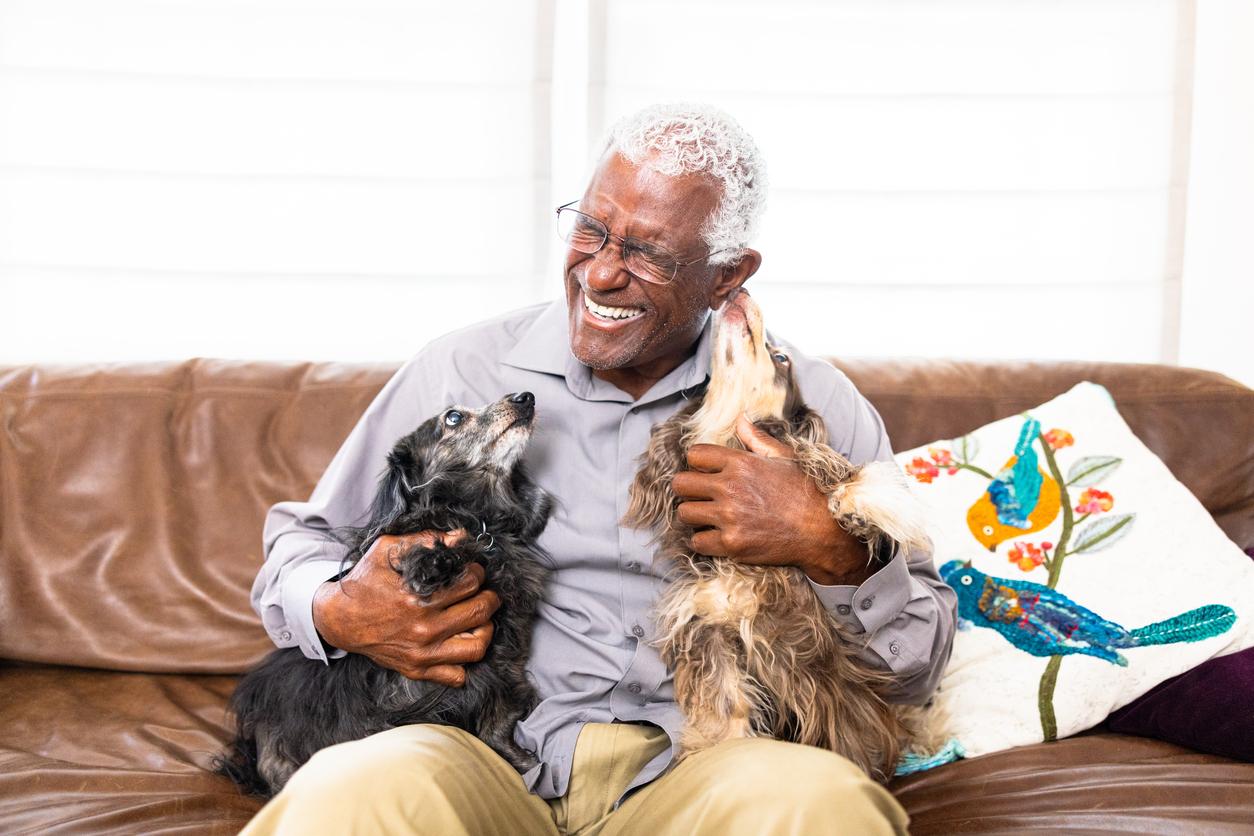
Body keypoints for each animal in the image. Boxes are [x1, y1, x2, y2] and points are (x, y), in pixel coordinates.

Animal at [215, 393, 554, 797]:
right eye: (454, 417)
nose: (525, 397)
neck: (477, 522)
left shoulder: (504, 667)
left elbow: (498, 724)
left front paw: (523, 763)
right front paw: (432, 560)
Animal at [621, 290, 937, 782]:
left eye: (782, 357)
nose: (740, 292)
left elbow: (839, 476)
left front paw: (878, 499)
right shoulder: (709, 627)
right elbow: (727, 704)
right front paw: (719, 748)